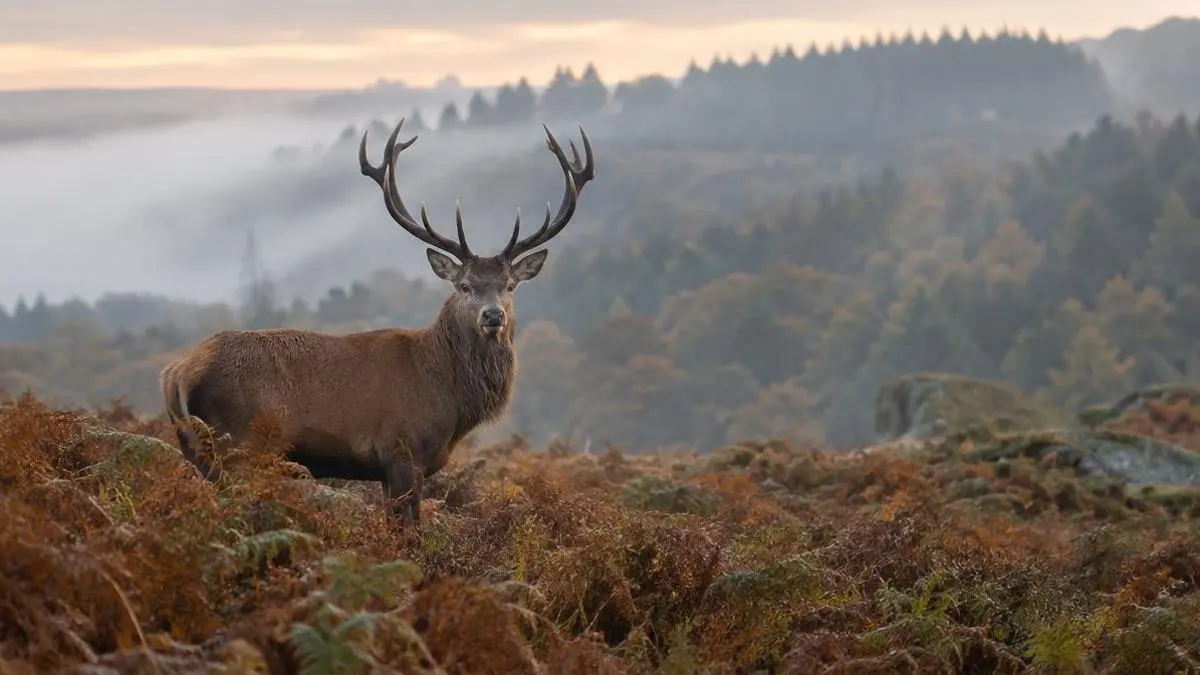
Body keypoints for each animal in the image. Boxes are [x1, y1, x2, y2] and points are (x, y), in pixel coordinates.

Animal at [158, 118, 595, 525]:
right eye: (465, 285)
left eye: (510, 285)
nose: (493, 316)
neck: (450, 399)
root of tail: (177, 373)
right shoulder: (401, 451)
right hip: (238, 444)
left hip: (200, 452)